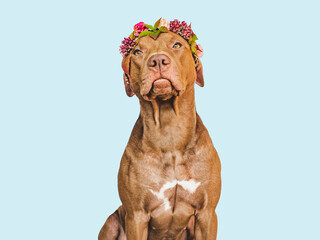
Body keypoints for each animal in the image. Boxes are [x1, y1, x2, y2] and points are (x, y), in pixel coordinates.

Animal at [99, 31, 221, 239]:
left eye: (177, 45)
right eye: (138, 51)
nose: (157, 60)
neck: (169, 131)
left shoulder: (207, 214)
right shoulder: (136, 216)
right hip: (111, 223)